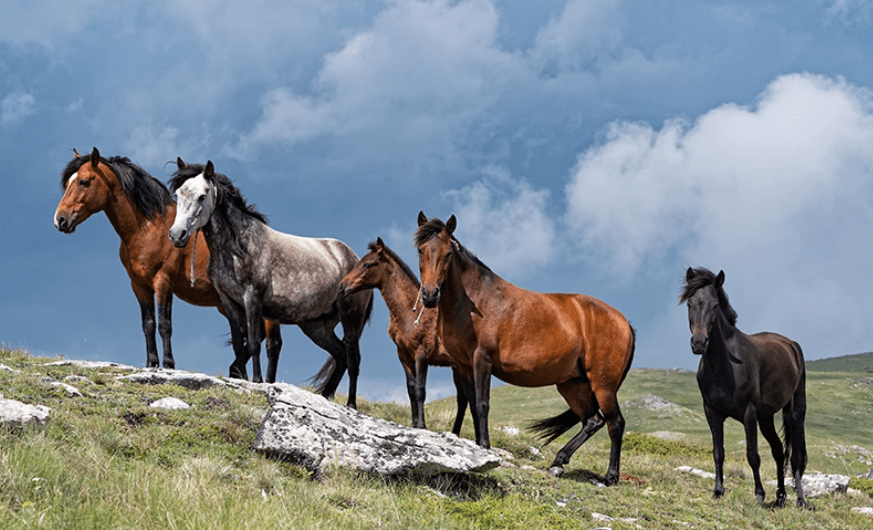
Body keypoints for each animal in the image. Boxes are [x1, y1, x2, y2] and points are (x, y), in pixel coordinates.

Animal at [51, 145, 282, 376]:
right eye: (67, 182)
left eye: (84, 181)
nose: (60, 220)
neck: (149, 228)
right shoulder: (139, 285)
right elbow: (148, 324)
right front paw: (151, 362)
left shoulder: (163, 282)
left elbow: (164, 324)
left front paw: (169, 364)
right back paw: (237, 370)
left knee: (272, 344)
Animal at [167, 159, 372, 402]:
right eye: (178, 194)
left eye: (202, 196)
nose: (177, 235)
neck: (237, 247)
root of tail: (355, 259)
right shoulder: (229, 302)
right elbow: (239, 346)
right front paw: (242, 379)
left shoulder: (252, 300)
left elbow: (254, 343)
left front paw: (256, 381)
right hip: (317, 327)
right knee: (340, 356)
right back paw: (325, 395)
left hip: (351, 318)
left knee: (353, 359)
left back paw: (351, 405)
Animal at [338, 238, 466, 434]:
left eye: (367, 264)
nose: (342, 286)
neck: (409, 312)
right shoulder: (403, 354)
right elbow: (411, 389)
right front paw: (414, 423)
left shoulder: (422, 354)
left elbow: (421, 389)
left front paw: (421, 425)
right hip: (458, 368)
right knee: (465, 399)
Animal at [414, 211, 632, 482]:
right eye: (421, 250)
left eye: (447, 254)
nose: (430, 295)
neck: (474, 300)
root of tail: (625, 322)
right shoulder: (464, 366)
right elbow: (473, 406)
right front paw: (478, 448)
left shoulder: (481, 360)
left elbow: (482, 404)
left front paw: (484, 446)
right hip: (573, 385)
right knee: (593, 421)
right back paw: (558, 463)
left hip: (603, 385)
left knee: (615, 423)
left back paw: (610, 476)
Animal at [676, 266, 808, 506]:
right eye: (690, 304)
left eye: (715, 305)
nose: (699, 343)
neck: (724, 367)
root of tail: (791, 345)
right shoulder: (712, 411)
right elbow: (718, 452)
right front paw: (718, 491)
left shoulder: (749, 413)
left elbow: (752, 455)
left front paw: (759, 494)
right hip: (766, 418)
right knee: (778, 451)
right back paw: (780, 497)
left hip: (795, 412)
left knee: (795, 457)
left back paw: (801, 500)